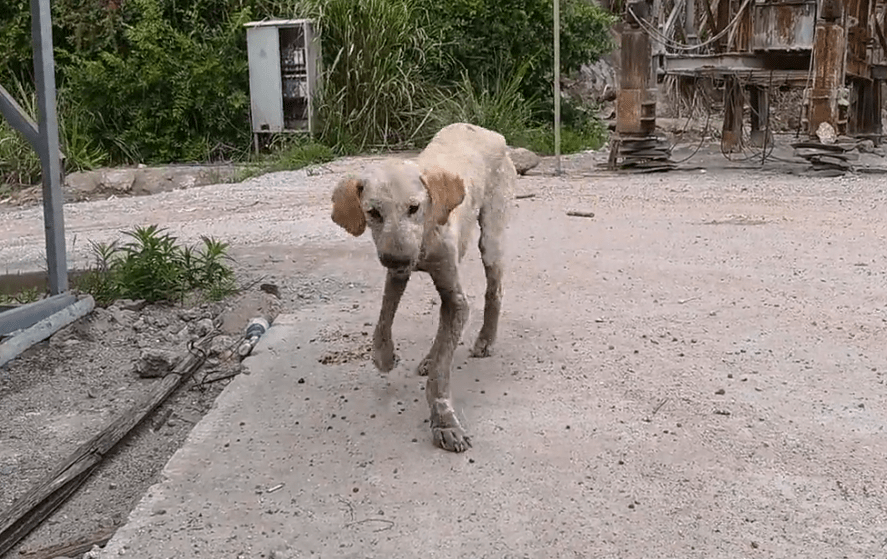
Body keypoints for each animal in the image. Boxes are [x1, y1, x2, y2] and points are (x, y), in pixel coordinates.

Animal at [330, 123, 516, 456]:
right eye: (373, 212)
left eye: (414, 208)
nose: (398, 259)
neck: (426, 238)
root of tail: (488, 131)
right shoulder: (397, 276)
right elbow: (384, 317)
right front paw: (384, 355)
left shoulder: (456, 299)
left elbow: (441, 372)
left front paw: (444, 422)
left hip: (492, 237)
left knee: (493, 291)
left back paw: (485, 339)